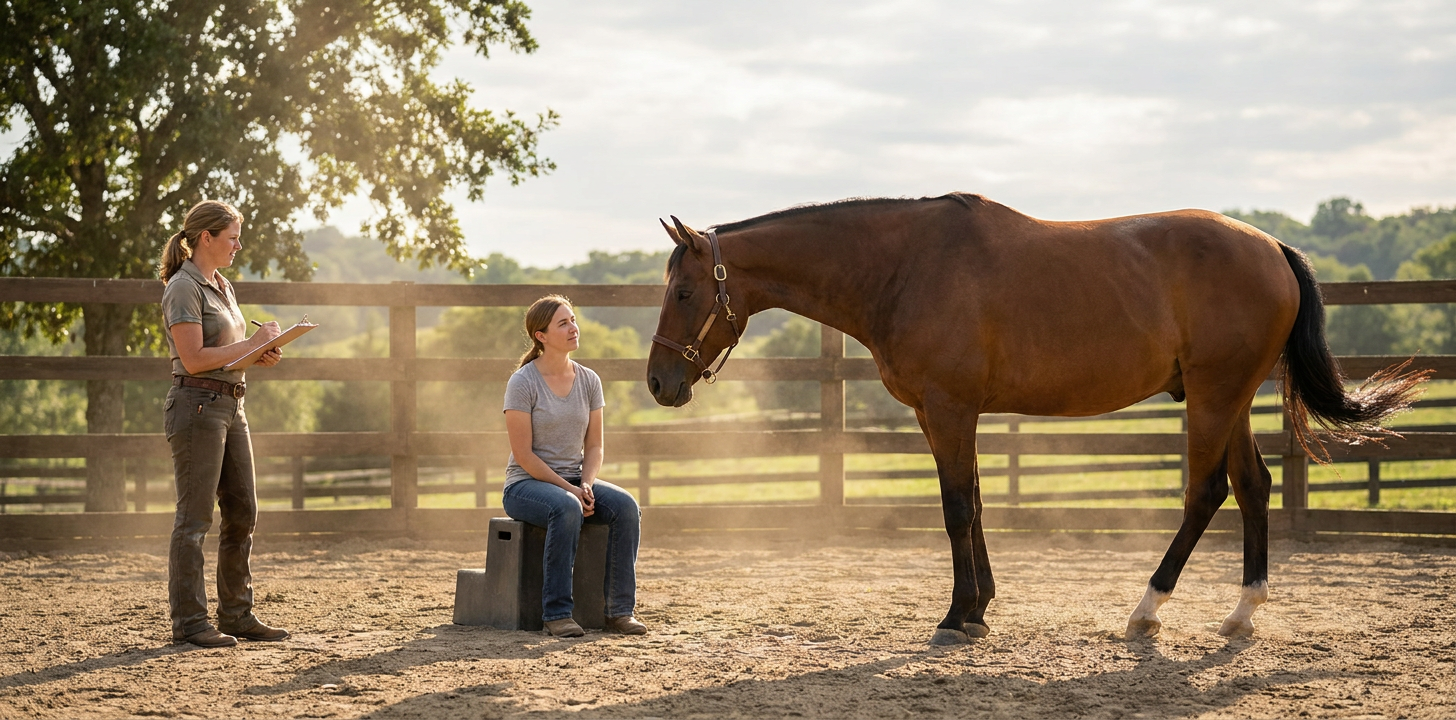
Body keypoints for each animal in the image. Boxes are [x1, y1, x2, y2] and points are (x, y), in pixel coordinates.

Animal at [644, 193, 1426, 646]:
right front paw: (982, 604)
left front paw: (957, 616)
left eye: (684, 292)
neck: (904, 265)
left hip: (1212, 397)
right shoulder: (941, 415)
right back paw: (1239, 615)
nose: (658, 381)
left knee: (1206, 493)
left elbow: (956, 508)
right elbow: (976, 501)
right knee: (1254, 487)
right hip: (1227, 400)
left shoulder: (951, 409)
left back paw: (1147, 609)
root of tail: (1272, 248)